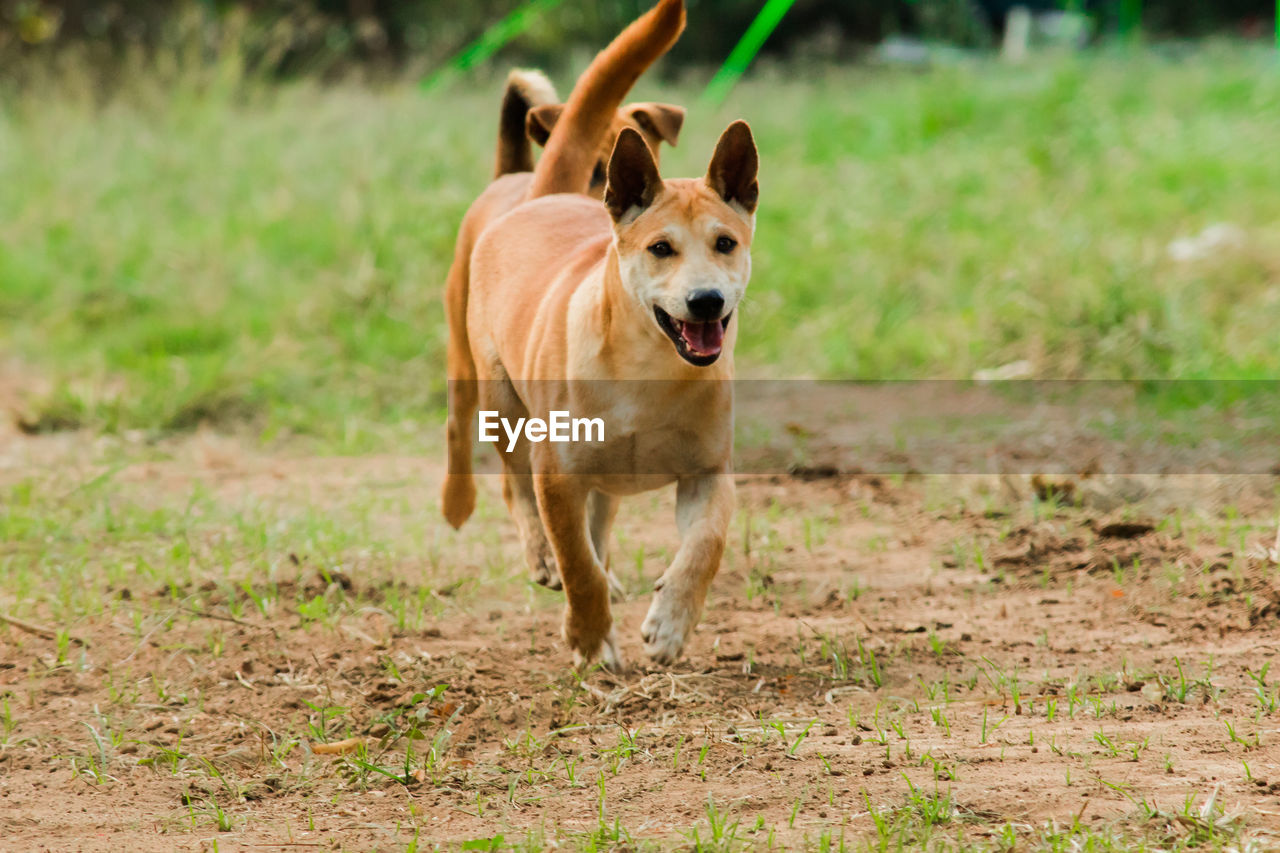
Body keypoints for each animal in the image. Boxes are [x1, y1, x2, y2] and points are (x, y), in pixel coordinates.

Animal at [445, 0, 752, 671]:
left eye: (726, 243)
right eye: (661, 248)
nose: (706, 300)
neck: (647, 368)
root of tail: (538, 196)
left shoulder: (708, 470)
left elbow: (706, 545)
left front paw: (670, 624)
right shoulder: (558, 473)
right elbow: (574, 560)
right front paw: (589, 636)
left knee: (601, 518)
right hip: (494, 392)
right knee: (509, 481)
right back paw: (532, 550)